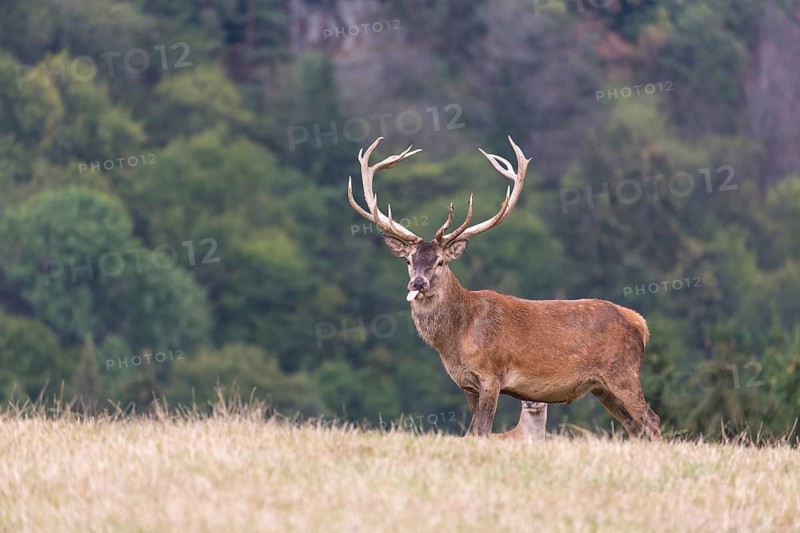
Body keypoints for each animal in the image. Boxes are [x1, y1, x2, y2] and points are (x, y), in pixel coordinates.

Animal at [347, 136, 662, 440]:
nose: (417, 283)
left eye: (440, 261)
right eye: (409, 260)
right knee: (634, 427)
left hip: (623, 372)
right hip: (601, 386)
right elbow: (473, 431)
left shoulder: (492, 374)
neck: (456, 338)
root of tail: (641, 323)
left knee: (652, 420)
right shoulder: (467, 384)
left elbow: (484, 429)